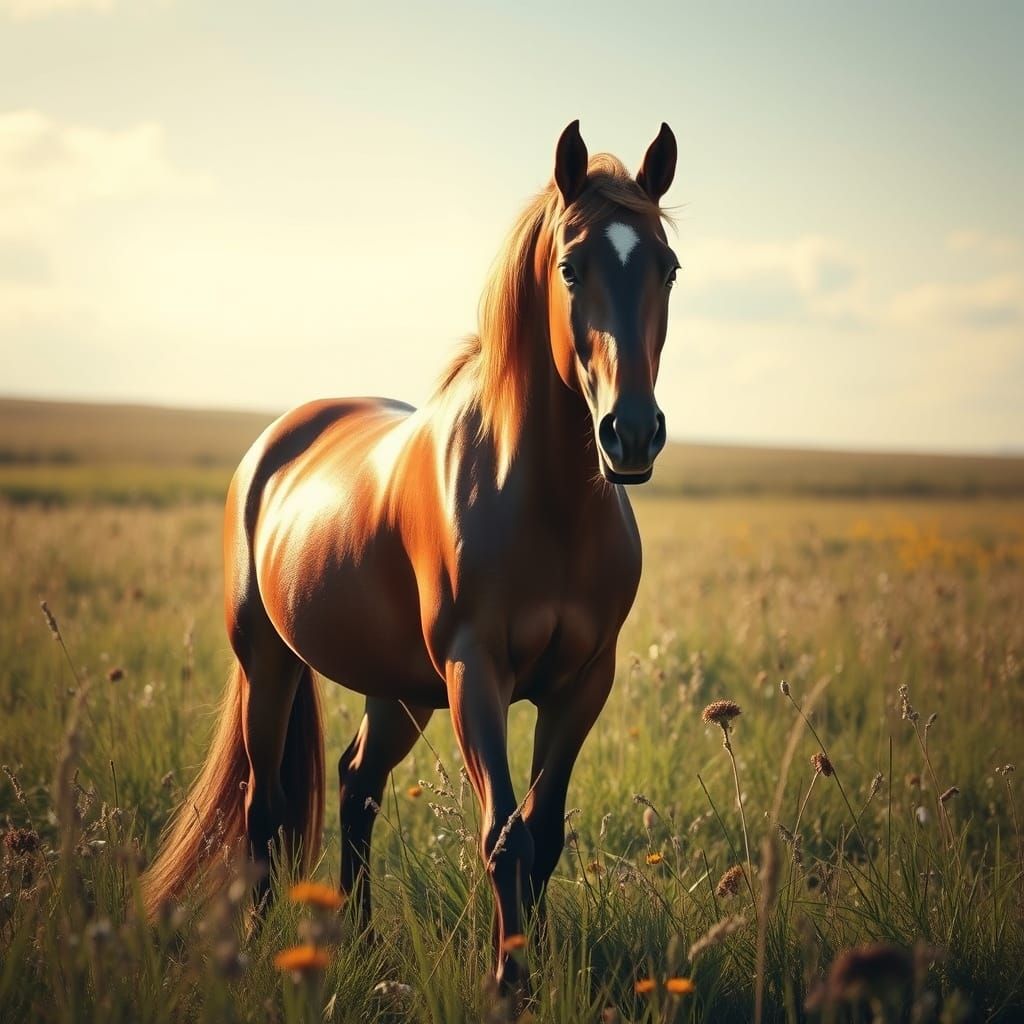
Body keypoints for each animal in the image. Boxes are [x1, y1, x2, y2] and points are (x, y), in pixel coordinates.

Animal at [142, 119, 679, 988]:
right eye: (570, 266)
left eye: (667, 267)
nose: (630, 433)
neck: (546, 502)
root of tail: (276, 440)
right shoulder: (475, 673)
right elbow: (505, 837)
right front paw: (507, 985)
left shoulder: (583, 684)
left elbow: (544, 833)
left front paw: (527, 968)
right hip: (269, 662)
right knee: (263, 807)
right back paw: (250, 950)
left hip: (398, 690)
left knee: (357, 785)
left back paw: (361, 942)